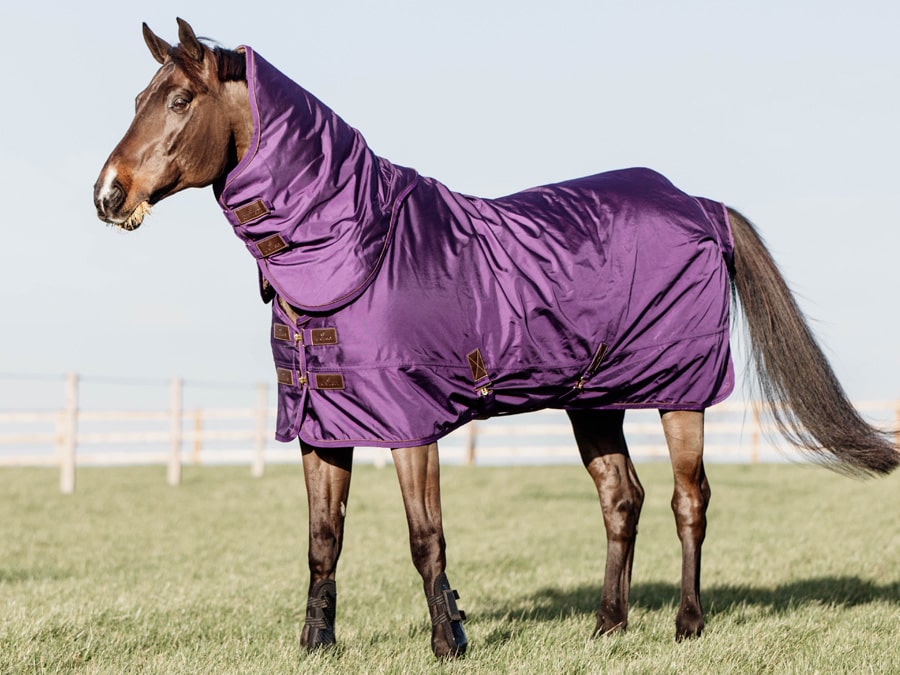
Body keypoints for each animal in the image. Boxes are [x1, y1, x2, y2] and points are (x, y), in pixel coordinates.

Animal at [93, 19, 898, 659]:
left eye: (179, 100)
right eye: (137, 100)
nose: (107, 194)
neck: (357, 246)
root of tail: (699, 204)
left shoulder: (409, 424)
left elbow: (426, 536)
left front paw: (449, 640)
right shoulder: (322, 423)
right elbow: (324, 541)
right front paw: (316, 643)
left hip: (681, 390)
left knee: (687, 498)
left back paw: (687, 624)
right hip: (593, 397)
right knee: (622, 497)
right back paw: (607, 625)